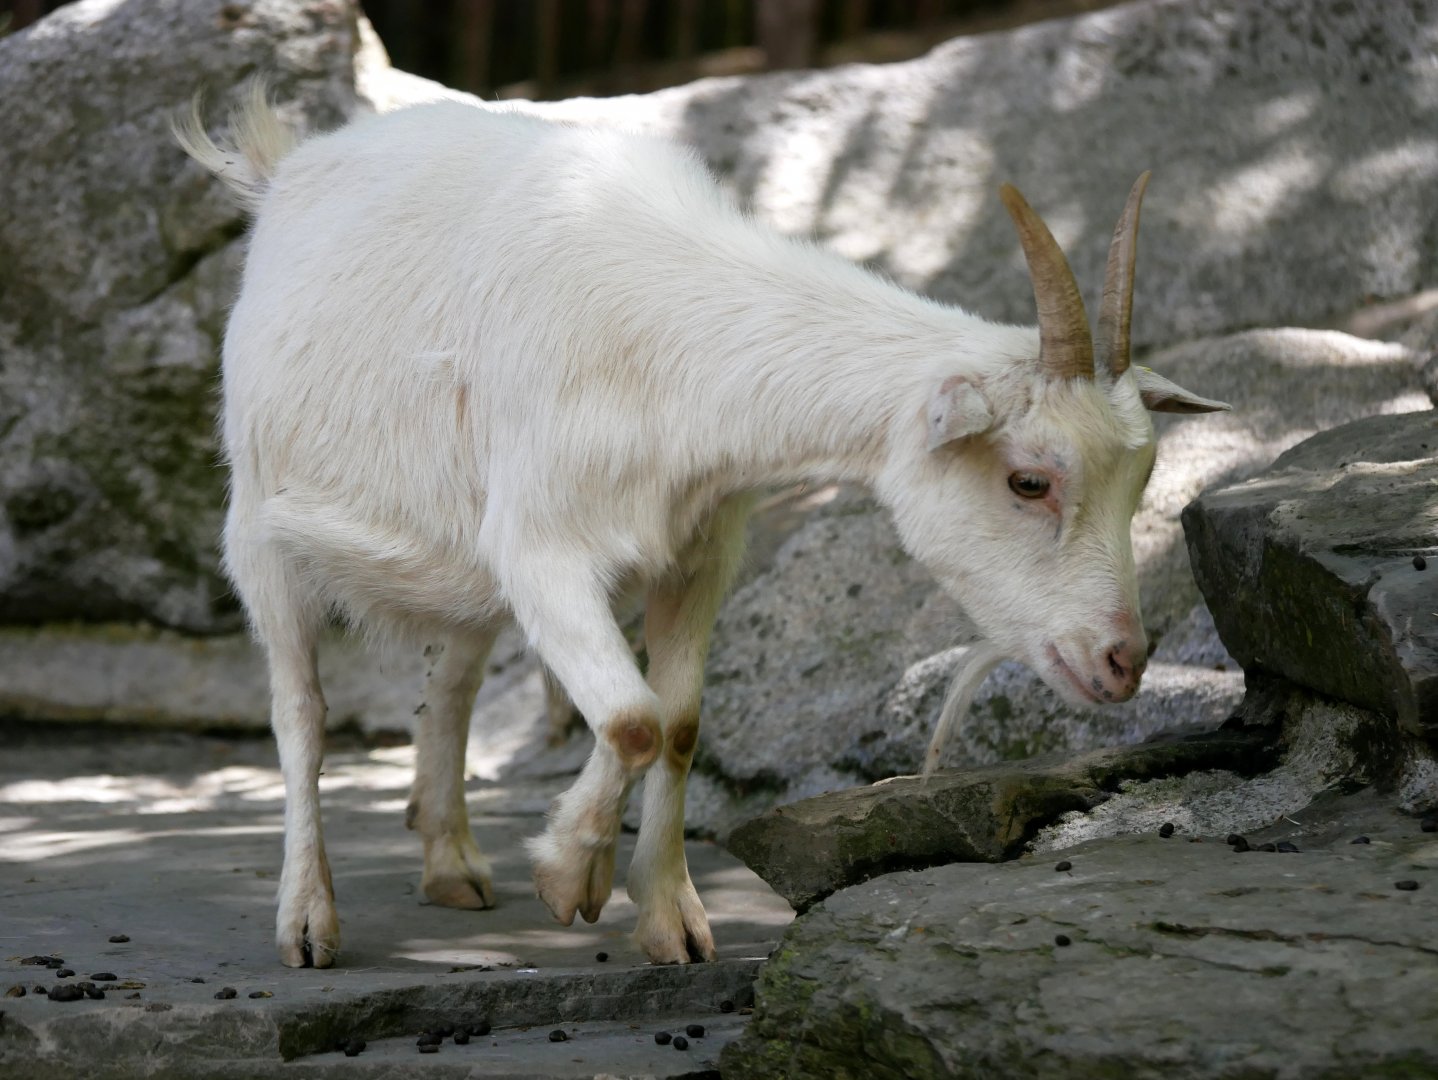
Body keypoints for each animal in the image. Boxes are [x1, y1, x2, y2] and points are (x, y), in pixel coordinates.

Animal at [175, 85, 1228, 968]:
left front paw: (668, 918)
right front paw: (570, 873)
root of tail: (289, 165)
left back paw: (452, 863)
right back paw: (307, 920)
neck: (668, 340)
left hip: (459, 556)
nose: (1121, 662)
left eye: (1142, 479)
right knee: (301, 711)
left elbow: (677, 725)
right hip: (259, 523)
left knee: (453, 683)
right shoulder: (543, 547)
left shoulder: (699, 551)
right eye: (1028, 480)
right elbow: (633, 719)